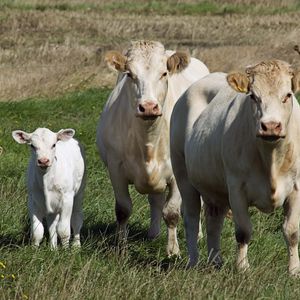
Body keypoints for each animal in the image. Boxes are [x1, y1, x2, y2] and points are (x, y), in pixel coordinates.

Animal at [96, 39, 209, 255]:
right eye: (129, 74)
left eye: (164, 73)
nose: (148, 107)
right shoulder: (115, 169)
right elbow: (123, 210)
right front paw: (121, 248)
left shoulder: (177, 172)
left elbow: (172, 212)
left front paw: (173, 251)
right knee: (155, 200)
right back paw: (154, 234)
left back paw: (197, 235)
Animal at [170, 59, 300, 276]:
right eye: (253, 96)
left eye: (288, 95)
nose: (270, 126)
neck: (271, 158)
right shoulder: (236, 188)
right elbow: (243, 231)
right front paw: (242, 267)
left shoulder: (297, 188)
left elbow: (292, 231)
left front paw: (294, 270)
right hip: (183, 176)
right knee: (191, 218)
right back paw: (194, 261)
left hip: (214, 189)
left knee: (214, 222)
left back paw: (215, 261)